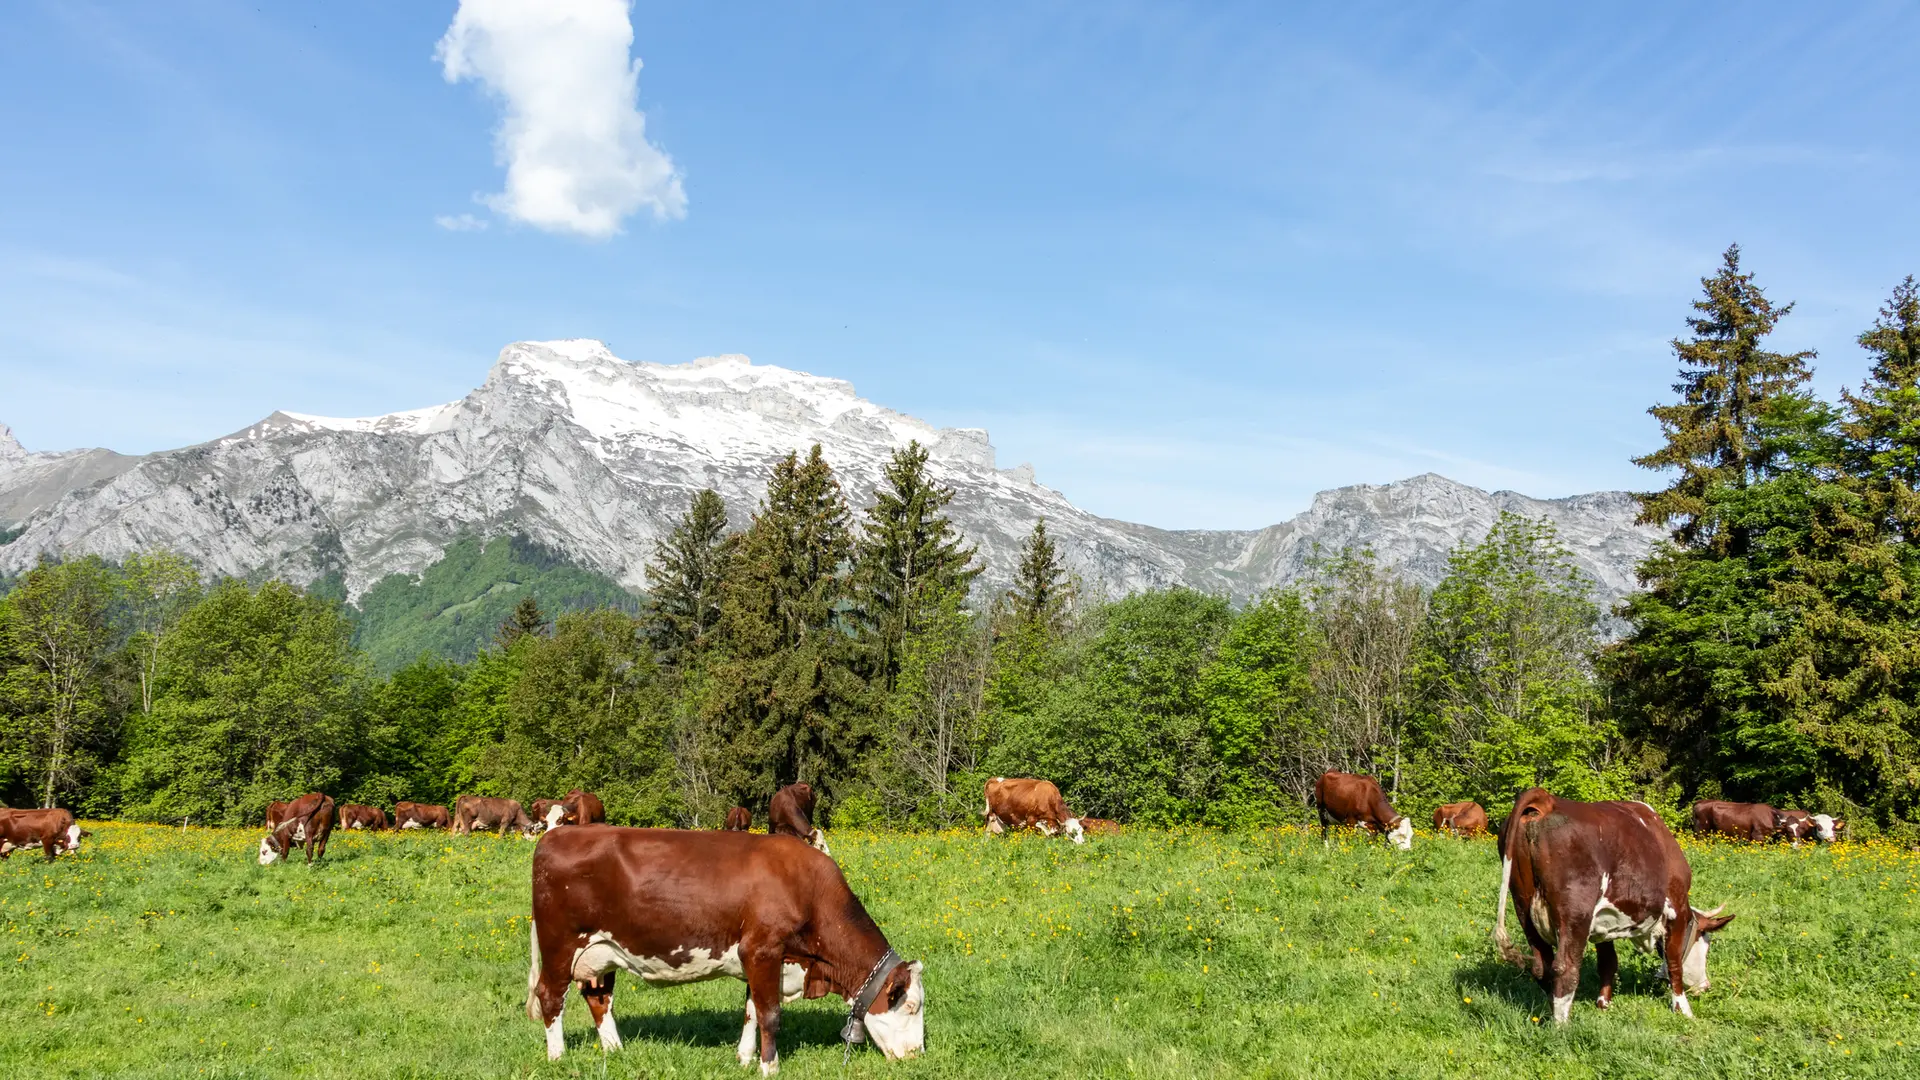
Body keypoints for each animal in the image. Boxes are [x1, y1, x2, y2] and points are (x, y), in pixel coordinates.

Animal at [527, 826, 925, 1072]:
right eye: (911, 1006)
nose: (917, 1056)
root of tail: (557, 835)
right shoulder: (762, 950)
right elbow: (770, 1014)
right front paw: (770, 1066)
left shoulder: (762, 959)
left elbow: (752, 1011)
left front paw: (745, 1058)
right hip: (560, 944)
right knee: (550, 995)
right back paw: (557, 1056)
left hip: (602, 951)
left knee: (599, 998)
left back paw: (615, 1051)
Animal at [1495, 788, 1736, 1022]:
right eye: (1705, 943)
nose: (1705, 986)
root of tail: (1547, 800)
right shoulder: (1676, 909)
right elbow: (1674, 962)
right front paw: (1683, 1010)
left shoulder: (1602, 922)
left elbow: (1608, 962)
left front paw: (1603, 1004)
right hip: (1575, 914)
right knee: (1565, 968)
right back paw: (1562, 1027)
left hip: (1523, 906)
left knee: (1541, 966)